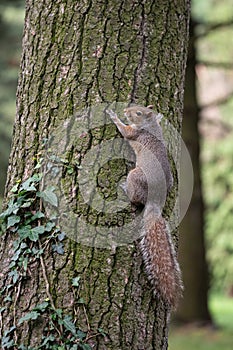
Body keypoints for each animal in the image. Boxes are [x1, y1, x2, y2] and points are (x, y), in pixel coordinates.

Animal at [106, 104, 183, 308]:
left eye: (138, 112)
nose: (126, 110)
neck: (149, 126)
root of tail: (155, 203)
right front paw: (161, 116)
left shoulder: (134, 133)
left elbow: (124, 130)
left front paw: (113, 115)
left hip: (135, 175)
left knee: (135, 199)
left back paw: (125, 189)